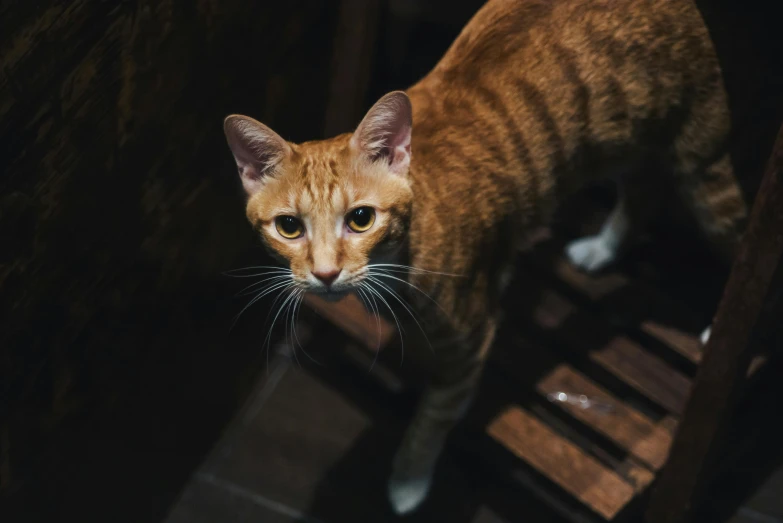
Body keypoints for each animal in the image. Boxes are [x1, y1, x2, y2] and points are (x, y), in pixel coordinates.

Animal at [222, 0, 748, 516]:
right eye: (290, 227)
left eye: (361, 219)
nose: (326, 273)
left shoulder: (471, 338)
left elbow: (433, 417)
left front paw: (409, 478)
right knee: (642, 189)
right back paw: (603, 247)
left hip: (704, 169)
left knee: (733, 231)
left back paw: (717, 327)